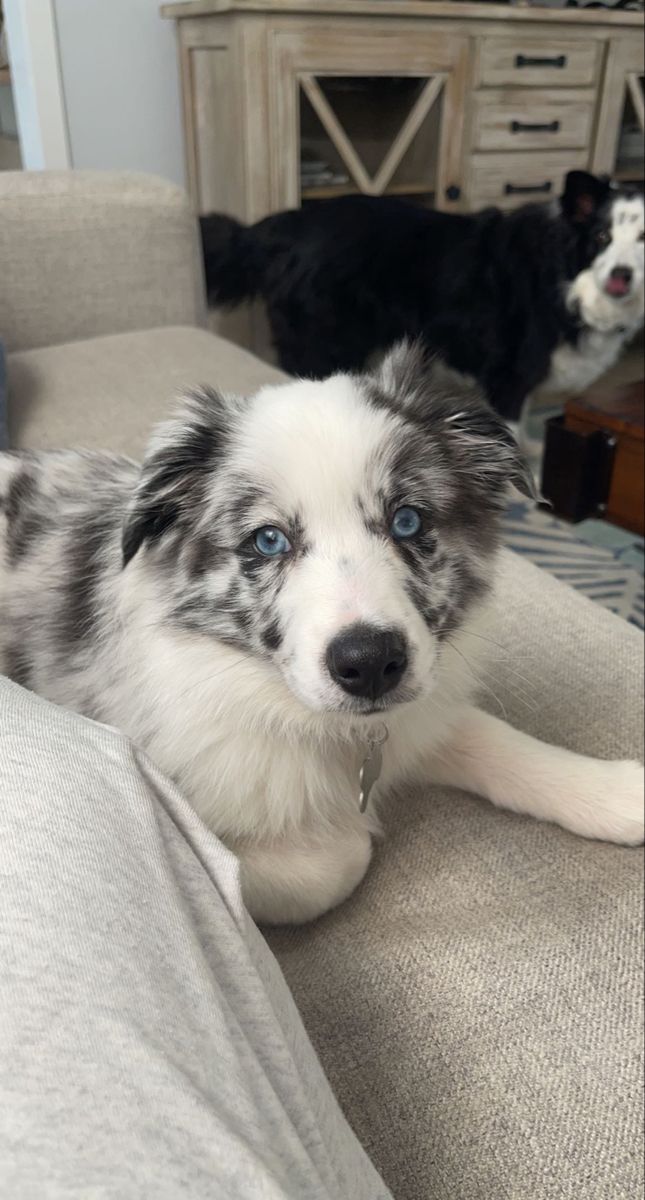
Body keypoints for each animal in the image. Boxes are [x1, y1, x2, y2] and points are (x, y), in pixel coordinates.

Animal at [0, 348, 637, 926]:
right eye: (268, 540)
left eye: (408, 521)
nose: (371, 663)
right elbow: (325, 863)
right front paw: (342, 835)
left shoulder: (418, 710)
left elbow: (490, 738)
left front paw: (613, 790)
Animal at [202, 170, 642, 422]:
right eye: (602, 237)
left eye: (642, 239)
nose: (621, 276)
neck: (565, 277)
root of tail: (283, 225)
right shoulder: (510, 377)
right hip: (324, 345)